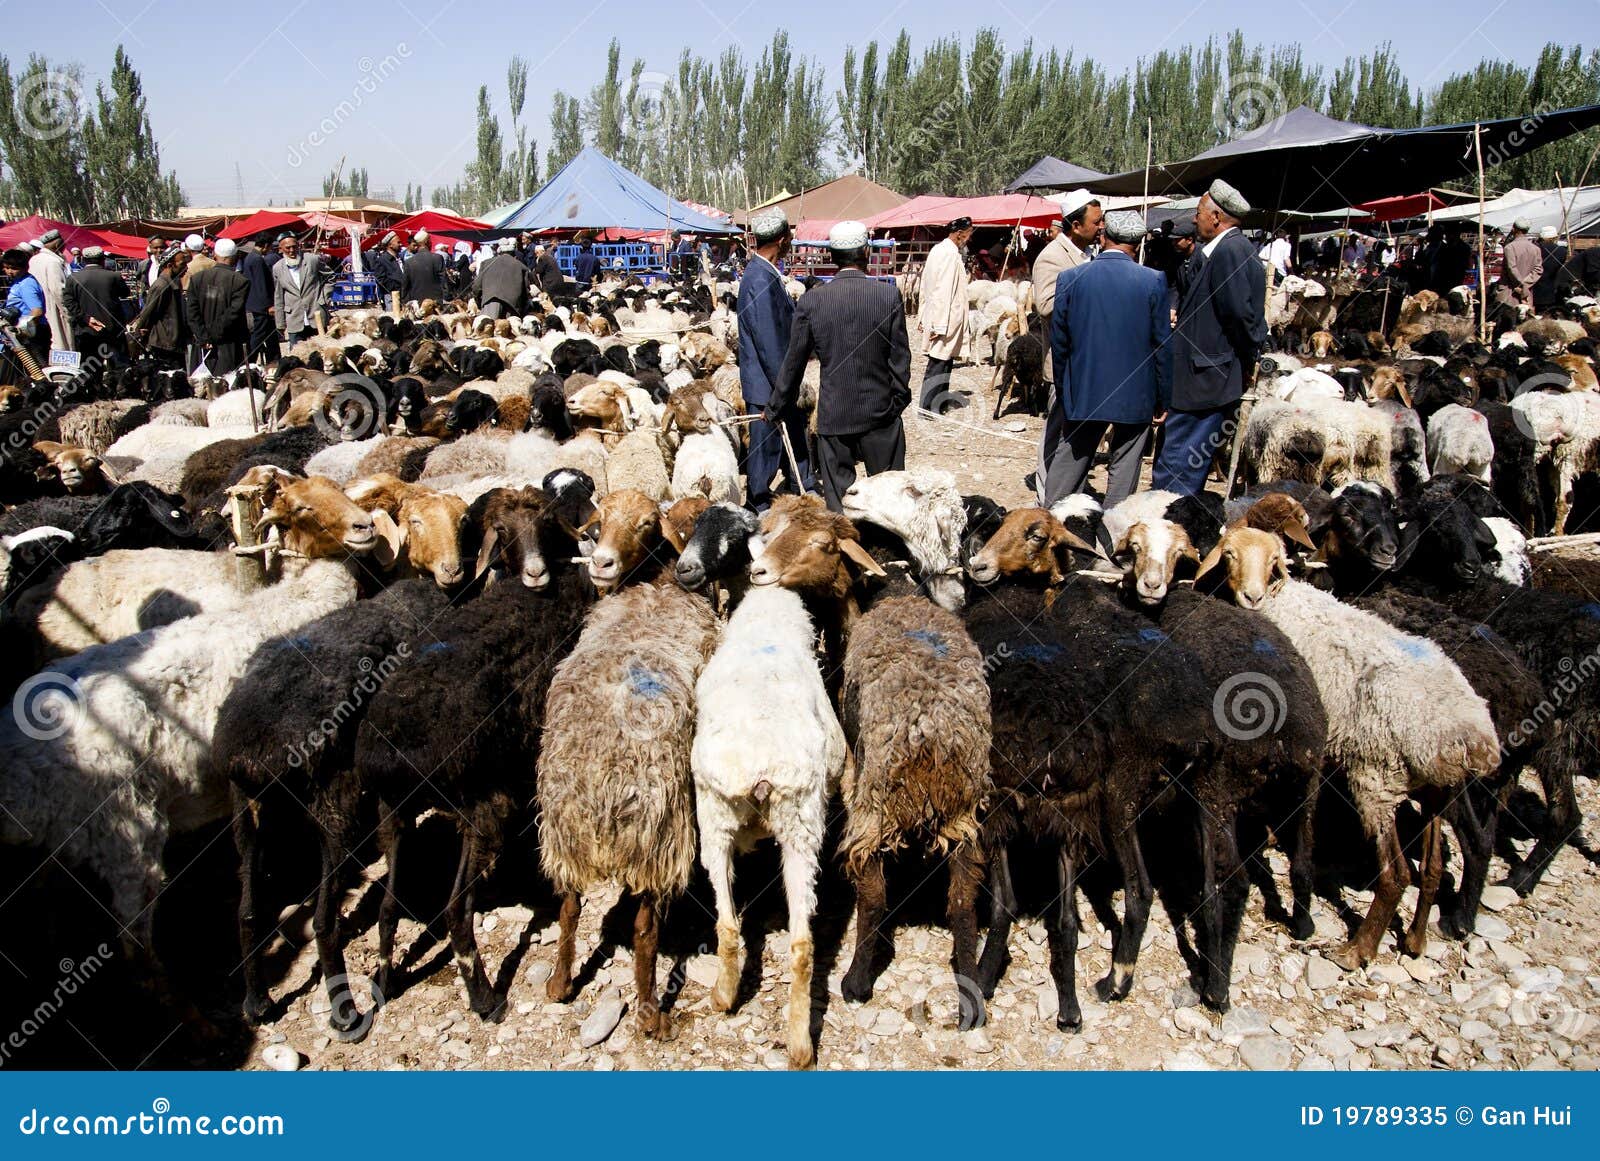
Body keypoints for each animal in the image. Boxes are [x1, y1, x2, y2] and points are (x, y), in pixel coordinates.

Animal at [690, 583, 847, 1068]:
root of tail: (760, 770)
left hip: (718, 816)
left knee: (729, 926)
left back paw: (726, 997)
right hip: (797, 825)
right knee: (799, 945)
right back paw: (798, 1042)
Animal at [1196, 524, 1500, 966]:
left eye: (1274, 561)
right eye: (1230, 554)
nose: (1251, 597)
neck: (1281, 601)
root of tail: (1472, 736)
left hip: (1378, 778)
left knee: (1396, 875)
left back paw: (1357, 949)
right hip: (1435, 789)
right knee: (1431, 869)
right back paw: (1414, 941)